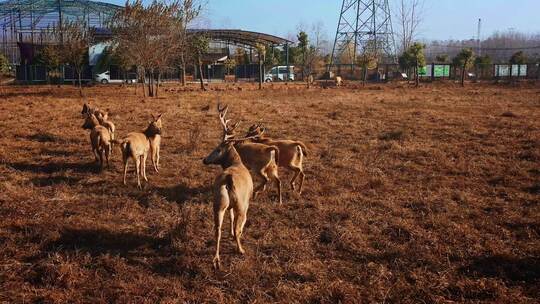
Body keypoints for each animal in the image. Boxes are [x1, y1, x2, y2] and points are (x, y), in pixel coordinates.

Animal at [202, 105, 258, 270]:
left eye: (217, 149)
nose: (204, 159)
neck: (237, 162)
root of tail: (228, 179)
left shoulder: (229, 206)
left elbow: (231, 218)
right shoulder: (246, 201)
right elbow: (237, 225)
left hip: (218, 203)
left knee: (217, 229)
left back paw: (216, 260)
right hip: (241, 204)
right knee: (239, 226)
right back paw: (240, 249)